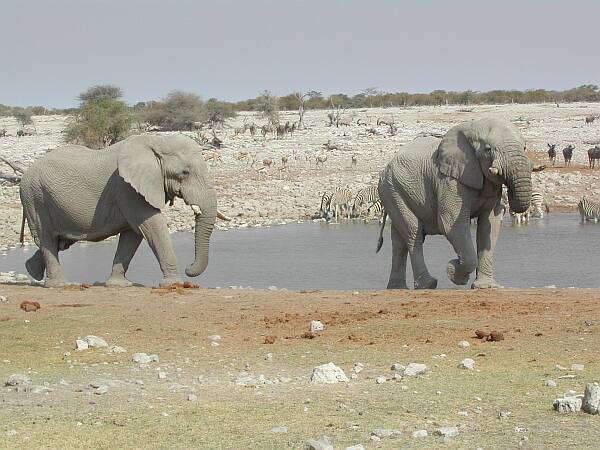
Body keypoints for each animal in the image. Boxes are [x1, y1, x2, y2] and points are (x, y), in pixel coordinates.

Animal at [20, 134, 227, 288]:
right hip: (35, 198)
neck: (156, 141)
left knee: (60, 241)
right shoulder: (127, 188)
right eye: (184, 173)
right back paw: (60, 285)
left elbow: (133, 234)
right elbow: (151, 226)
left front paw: (120, 285)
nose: (189, 267)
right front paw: (173, 284)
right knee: (47, 237)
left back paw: (31, 270)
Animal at [378, 118, 532, 290]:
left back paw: (397, 288)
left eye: (524, 147)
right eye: (488, 149)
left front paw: (486, 286)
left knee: (399, 240)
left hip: (394, 191)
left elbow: (489, 225)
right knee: (413, 233)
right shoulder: (450, 181)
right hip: (392, 190)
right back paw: (427, 285)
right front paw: (454, 273)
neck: (472, 128)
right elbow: (451, 223)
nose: (509, 191)